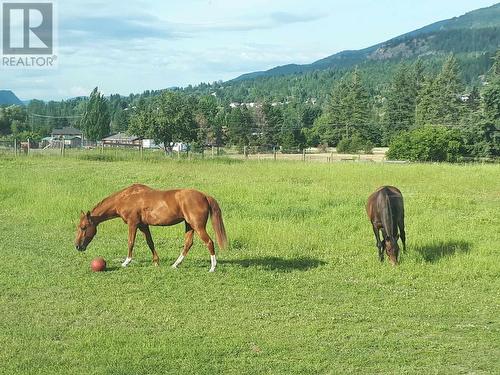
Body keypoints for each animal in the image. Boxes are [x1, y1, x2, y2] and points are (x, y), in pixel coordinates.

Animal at [74, 185, 229, 274]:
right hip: (189, 225)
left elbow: (130, 242)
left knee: (209, 242)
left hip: (197, 226)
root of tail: (204, 196)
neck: (126, 197)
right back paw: (175, 264)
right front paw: (156, 262)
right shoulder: (143, 225)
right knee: (188, 244)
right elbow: (150, 242)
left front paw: (126, 262)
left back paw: (212, 267)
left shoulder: (133, 223)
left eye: (83, 227)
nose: (77, 246)